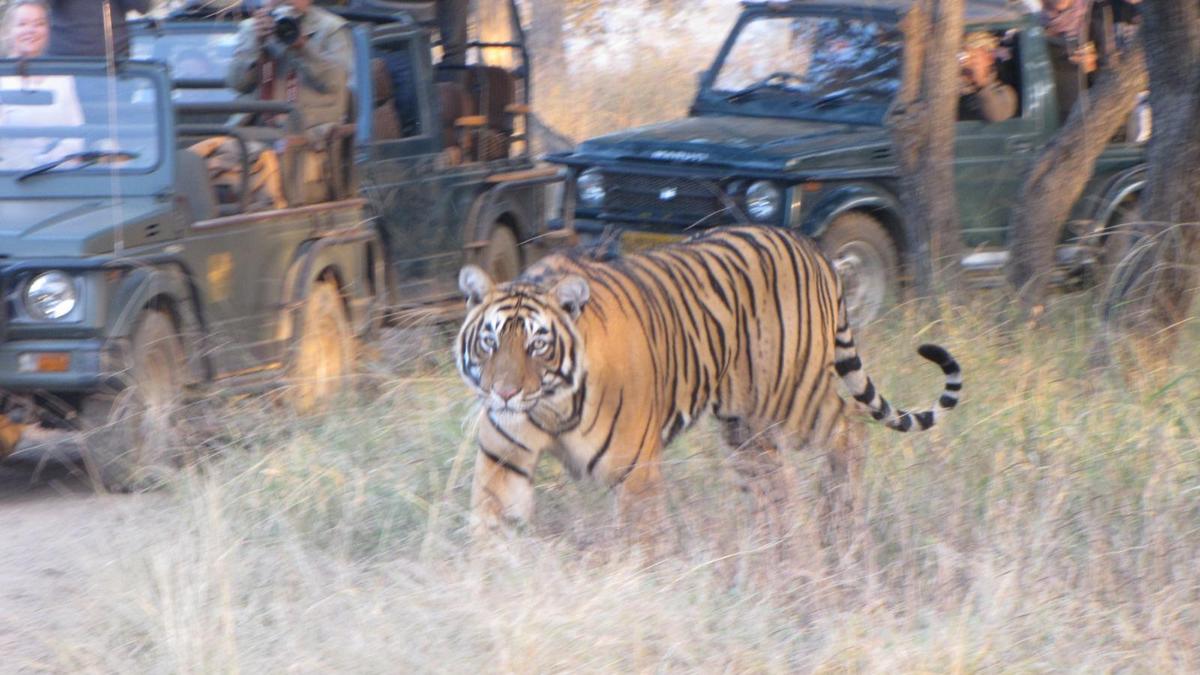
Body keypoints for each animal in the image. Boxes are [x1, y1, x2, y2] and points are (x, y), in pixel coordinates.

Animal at [455, 225, 961, 536]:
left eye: (538, 344)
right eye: (490, 341)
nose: (504, 393)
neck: (551, 406)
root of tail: (813, 248)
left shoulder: (635, 473)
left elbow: (641, 545)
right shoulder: (503, 461)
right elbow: (491, 529)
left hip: (791, 399)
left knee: (851, 427)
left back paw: (838, 519)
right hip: (746, 429)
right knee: (772, 486)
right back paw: (775, 541)